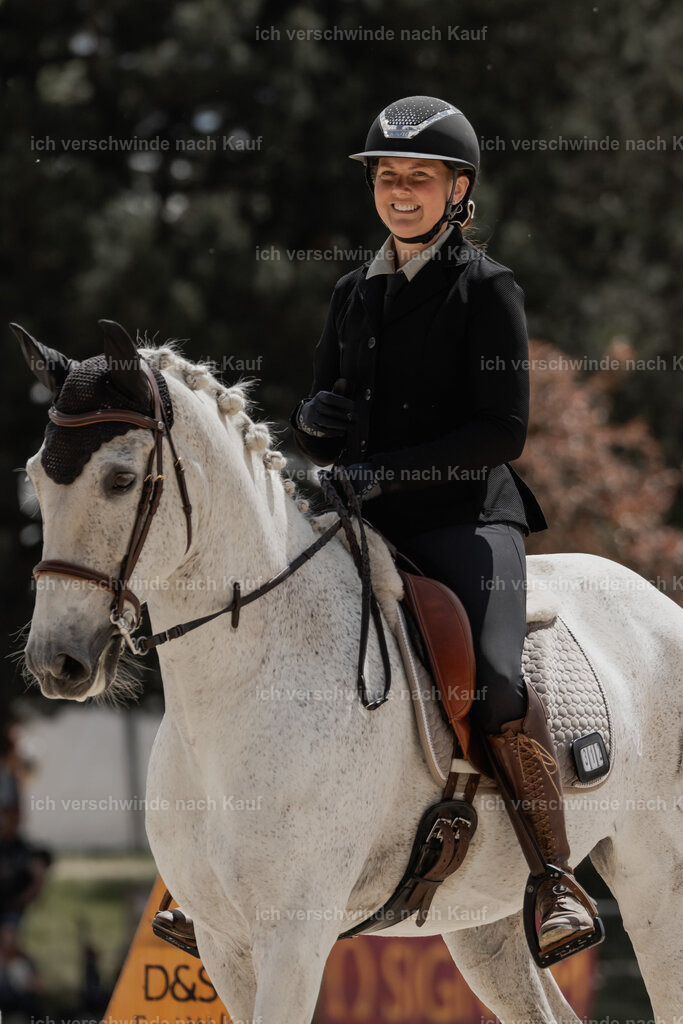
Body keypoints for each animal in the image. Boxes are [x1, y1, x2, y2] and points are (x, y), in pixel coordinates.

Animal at [16, 322, 683, 1024]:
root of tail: (653, 598)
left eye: (119, 480)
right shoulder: (224, 944)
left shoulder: (294, 937)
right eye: (36, 478)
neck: (236, 692)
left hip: (655, 881)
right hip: (483, 922)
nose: (57, 661)